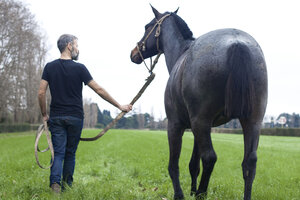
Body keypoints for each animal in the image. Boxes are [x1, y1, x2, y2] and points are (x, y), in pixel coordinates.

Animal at [130, 5, 268, 199]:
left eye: (147, 26)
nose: (134, 53)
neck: (182, 53)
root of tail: (237, 43)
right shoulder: (197, 128)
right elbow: (193, 165)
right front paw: (192, 190)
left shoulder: (176, 124)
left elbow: (174, 164)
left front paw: (180, 194)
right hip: (252, 121)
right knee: (249, 162)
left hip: (201, 122)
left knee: (210, 157)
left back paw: (202, 193)